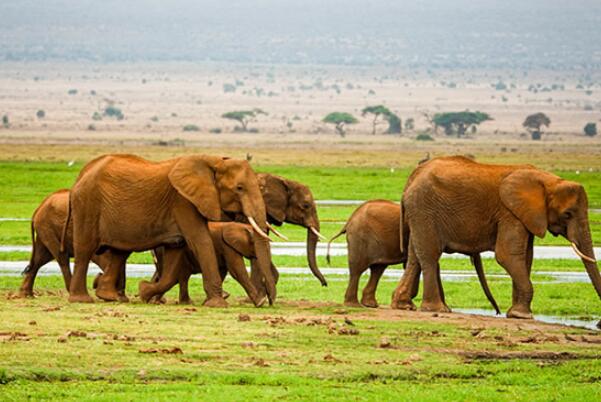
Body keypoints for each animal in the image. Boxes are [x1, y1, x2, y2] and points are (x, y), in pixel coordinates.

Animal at [139, 221, 274, 306]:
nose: (271, 302)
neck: (241, 226)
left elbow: (222, 270)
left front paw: (213, 299)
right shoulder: (227, 246)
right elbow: (237, 270)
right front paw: (261, 302)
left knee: (180, 276)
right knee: (173, 276)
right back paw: (154, 300)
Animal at [326, 199, 500, 312]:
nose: (498, 312)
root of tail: (348, 222)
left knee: (378, 269)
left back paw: (370, 305)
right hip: (360, 238)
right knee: (358, 270)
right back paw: (353, 305)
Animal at [392, 155, 596, 318]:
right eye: (568, 214)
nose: (497, 311)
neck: (549, 180)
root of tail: (412, 177)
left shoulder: (524, 216)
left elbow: (526, 258)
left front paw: (515, 313)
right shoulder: (509, 213)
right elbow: (507, 255)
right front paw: (522, 315)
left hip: (420, 213)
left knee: (415, 256)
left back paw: (404, 305)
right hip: (425, 209)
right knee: (430, 255)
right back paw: (437, 309)